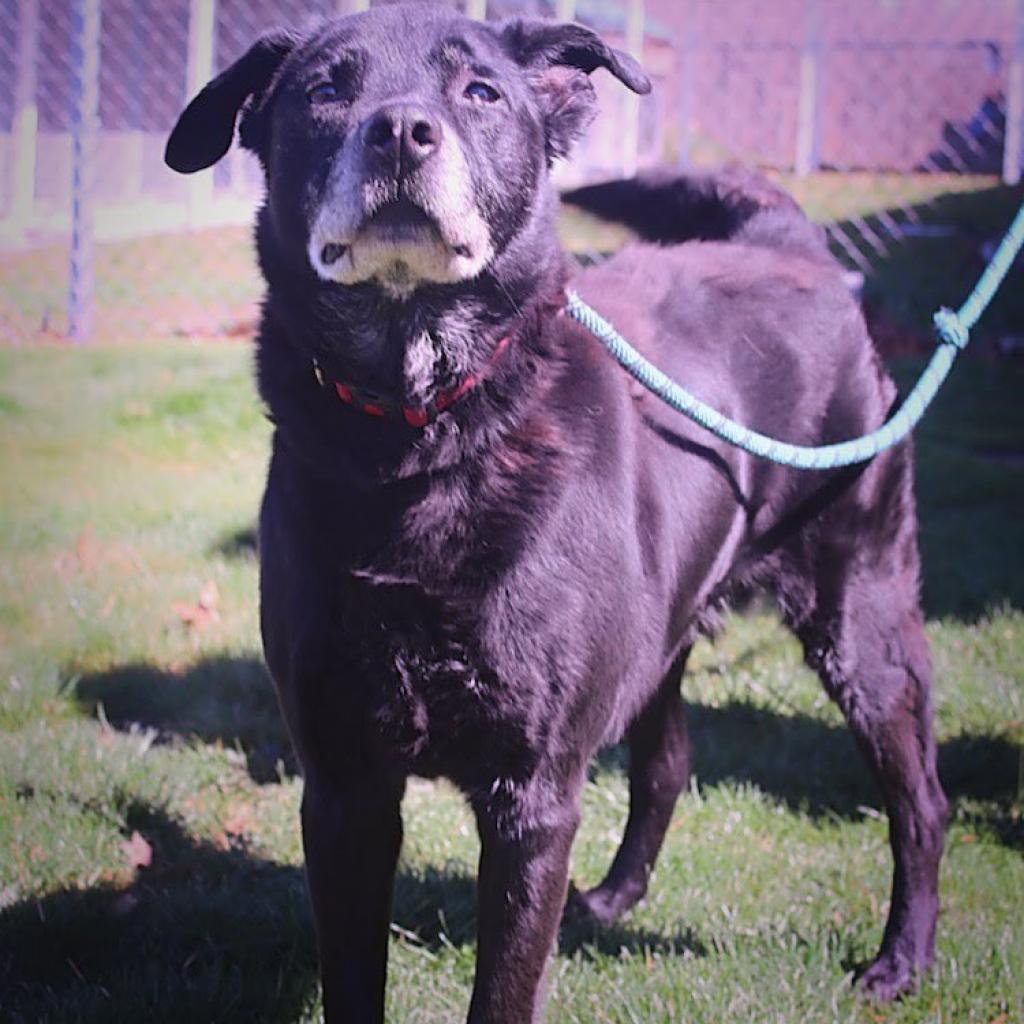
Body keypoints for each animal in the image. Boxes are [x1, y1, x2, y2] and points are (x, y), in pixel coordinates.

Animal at [165, 6, 942, 1015]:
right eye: (326, 88)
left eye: (481, 92)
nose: (401, 131)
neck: (427, 435)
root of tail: (787, 246)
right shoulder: (342, 786)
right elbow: (351, 980)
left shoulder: (532, 795)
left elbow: (504, 988)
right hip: (664, 629)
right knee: (666, 764)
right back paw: (611, 898)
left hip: (860, 615)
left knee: (920, 800)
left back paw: (902, 960)